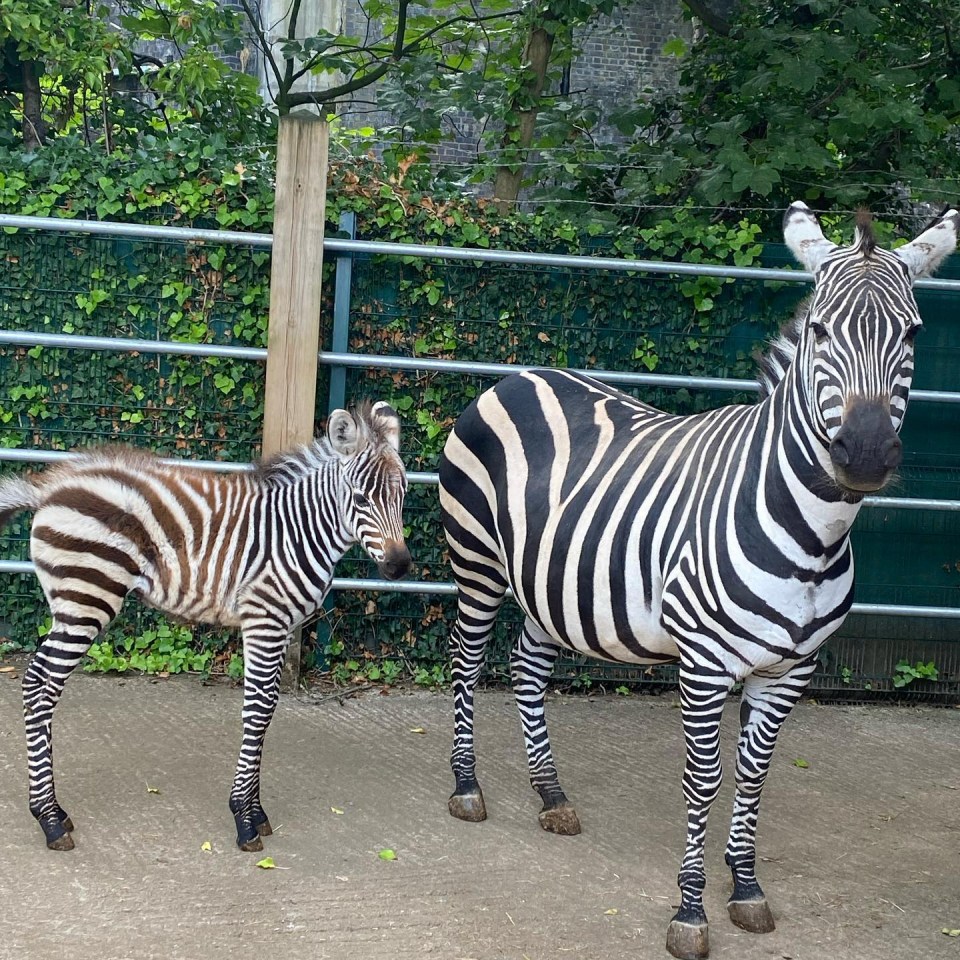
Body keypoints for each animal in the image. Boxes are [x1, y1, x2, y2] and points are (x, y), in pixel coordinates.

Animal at [0, 402, 408, 852]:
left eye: (403, 495)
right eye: (361, 498)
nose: (400, 567)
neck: (298, 532)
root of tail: (50, 490)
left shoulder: (279, 625)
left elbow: (267, 707)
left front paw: (256, 811)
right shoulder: (264, 619)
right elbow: (257, 709)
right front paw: (244, 819)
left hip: (75, 602)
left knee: (38, 683)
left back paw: (54, 812)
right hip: (86, 599)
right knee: (40, 685)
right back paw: (49, 819)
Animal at [440, 204, 960, 960]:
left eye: (914, 332)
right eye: (820, 330)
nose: (864, 455)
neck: (814, 537)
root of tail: (521, 374)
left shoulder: (791, 670)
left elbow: (753, 775)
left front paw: (744, 888)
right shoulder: (705, 665)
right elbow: (704, 777)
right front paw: (690, 912)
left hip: (551, 586)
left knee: (528, 667)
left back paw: (551, 795)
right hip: (476, 561)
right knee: (466, 660)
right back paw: (466, 786)